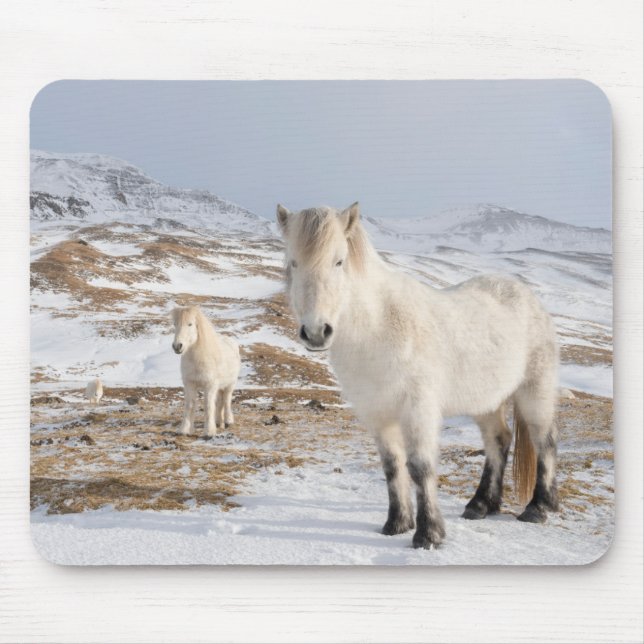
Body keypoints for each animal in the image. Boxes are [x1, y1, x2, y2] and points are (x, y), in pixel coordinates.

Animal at [171, 306, 241, 437]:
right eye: (175, 324)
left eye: (190, 324)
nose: (177, 346)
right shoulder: (190, 384)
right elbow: (190, 405)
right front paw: (184, 430)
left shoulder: (210, 385)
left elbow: (208, 406)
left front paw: (209, 432)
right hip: (220, 387)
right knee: (220, 402)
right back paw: (219, 422)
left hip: (230, 384)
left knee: (227, 400)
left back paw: (228, 421)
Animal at [276, 202, 559, 550]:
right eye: (293, 262)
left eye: (339, 261)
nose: (316, 332)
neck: (379, 328)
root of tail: (527, 296)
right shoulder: (378, 414)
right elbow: (392, 466)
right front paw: (397, 524)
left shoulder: (418, 409)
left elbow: (420, 467)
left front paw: (428, 534)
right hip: (486, 402)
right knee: (499, 441)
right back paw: (481, 505)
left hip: (535, 391)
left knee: (544, 440)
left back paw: (538, 507)